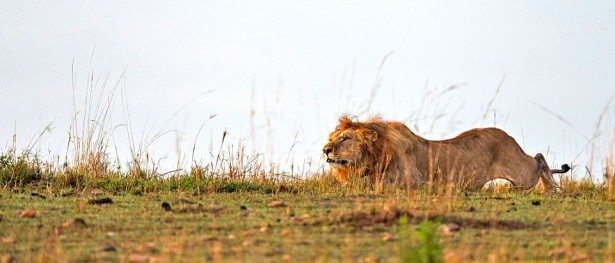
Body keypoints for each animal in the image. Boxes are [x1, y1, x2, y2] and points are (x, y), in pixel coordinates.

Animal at [324, 116, 572, 192]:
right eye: (333, 138)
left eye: (345, 138)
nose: (325, 150)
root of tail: (508, 137)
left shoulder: (412, 180)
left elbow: (374, 182)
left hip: (522, 174)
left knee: (539, 158)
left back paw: (553, 188)